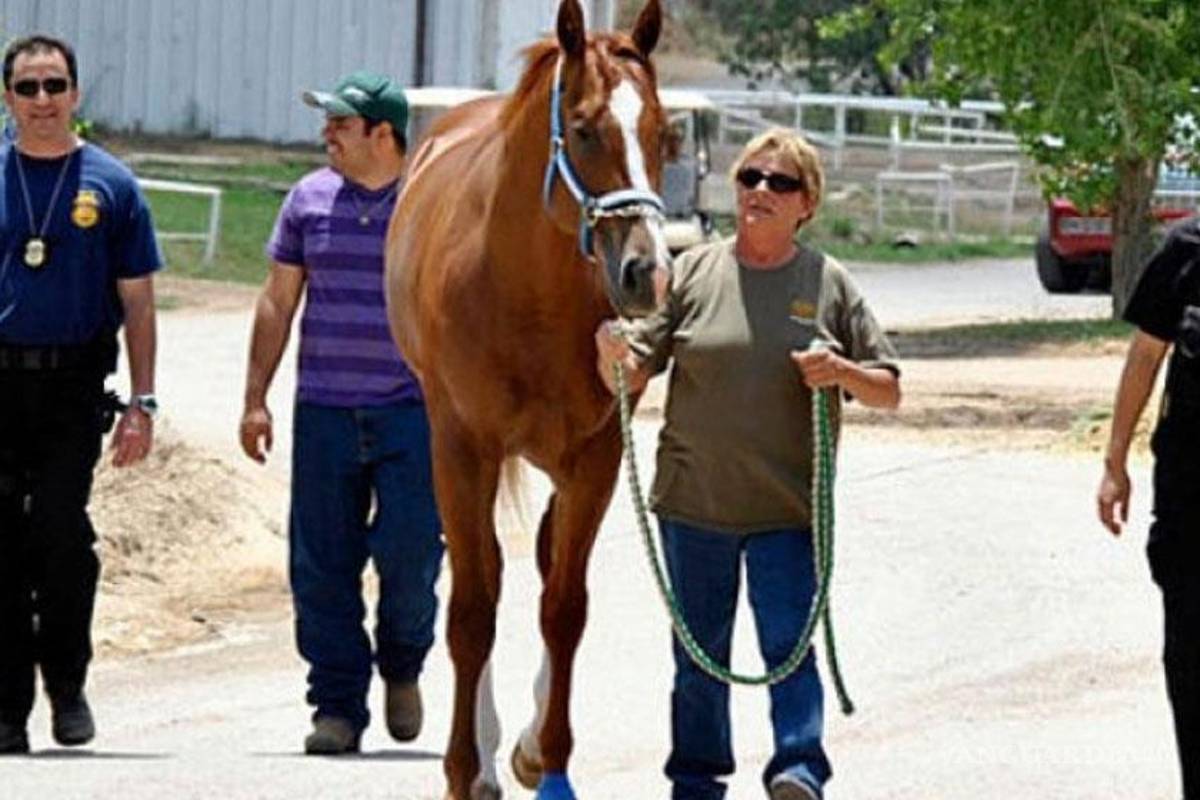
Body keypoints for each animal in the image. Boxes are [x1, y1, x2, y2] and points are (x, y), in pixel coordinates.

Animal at [384, 1, 670, 798]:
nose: (647, 272)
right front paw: (462, 766)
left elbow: (564, 608)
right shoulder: (461, 451)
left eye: (663, 133)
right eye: (584, 127)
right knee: (482, 570)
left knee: (539, 564)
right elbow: (472, 610)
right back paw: (483, 757)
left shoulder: (596, 457)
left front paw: (551, 755)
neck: (523, 291)